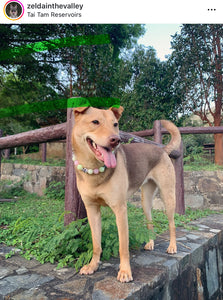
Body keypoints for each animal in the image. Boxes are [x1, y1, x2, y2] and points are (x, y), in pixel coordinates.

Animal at [72, 106, 181, 282]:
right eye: (95, 122)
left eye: (115, 124)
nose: (115, 140)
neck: (94, 169)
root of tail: (161, 149)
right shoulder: (92, 209)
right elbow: (96, 244)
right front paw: (93, 265)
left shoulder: (120, 210)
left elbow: (123, 246)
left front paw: (124, 271)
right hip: (146, 201)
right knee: (150, 222)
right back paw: (151, 243)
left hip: (168, 196)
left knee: (171, 223)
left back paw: (172, 246)